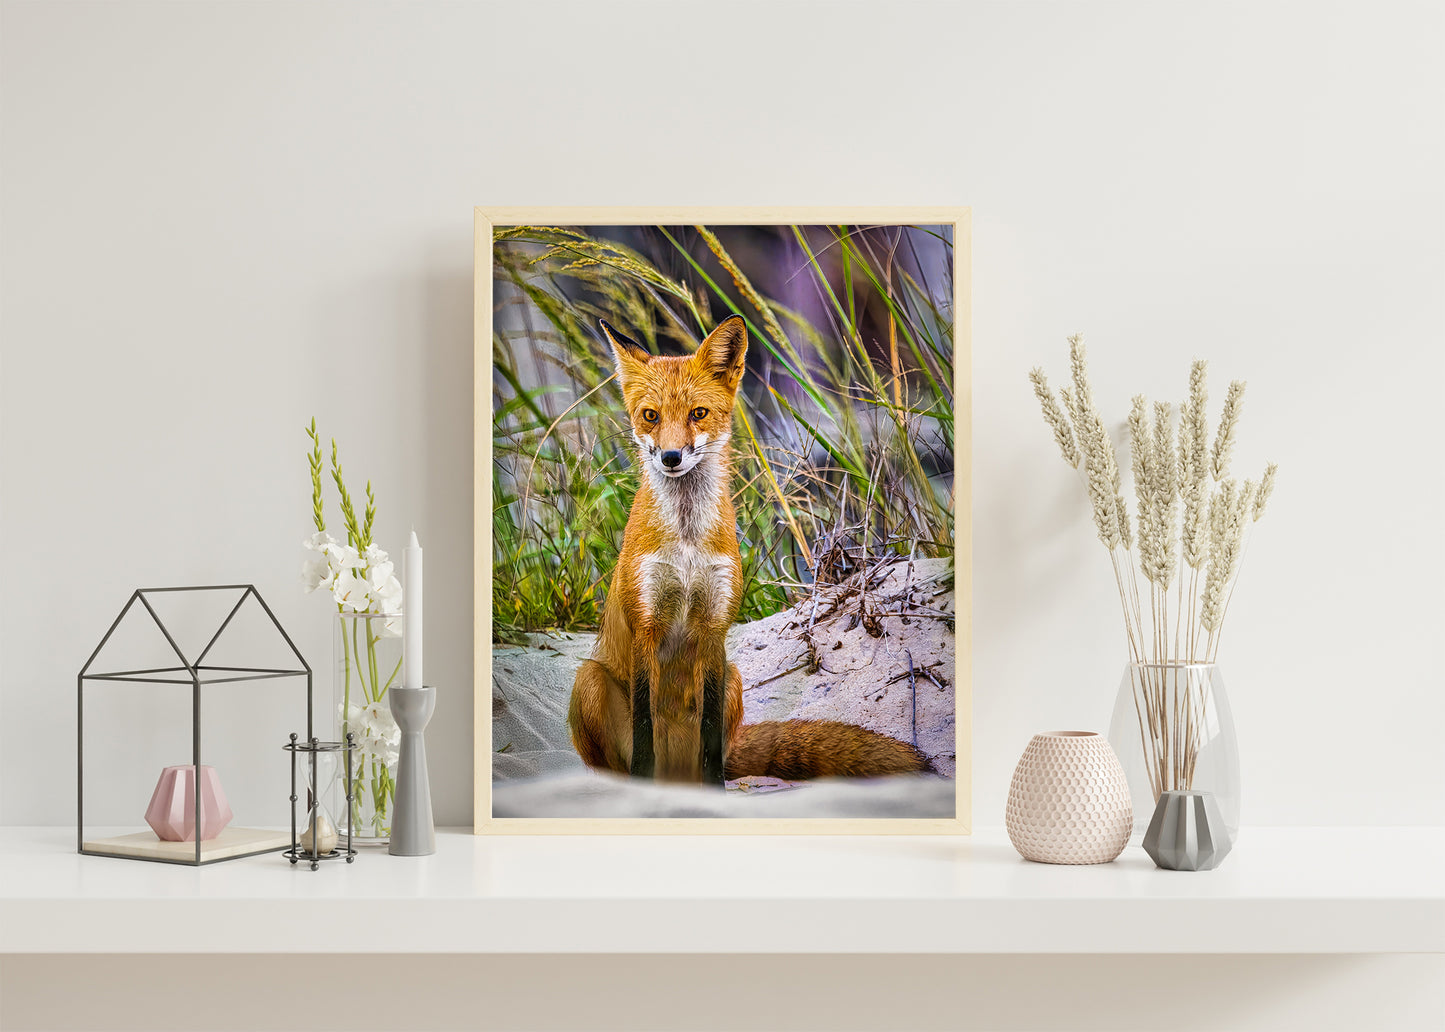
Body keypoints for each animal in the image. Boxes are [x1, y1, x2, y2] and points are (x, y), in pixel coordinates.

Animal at [567, 315, 934, 785]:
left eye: (698, 413)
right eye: (650, 416)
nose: (670, 456)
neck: (687, 542)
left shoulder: (714, 627)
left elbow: (709, 734)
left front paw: (715, 793)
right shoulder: (645, 626)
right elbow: (643, 729)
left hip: (734, 678)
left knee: (717, 753)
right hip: (590, 680)